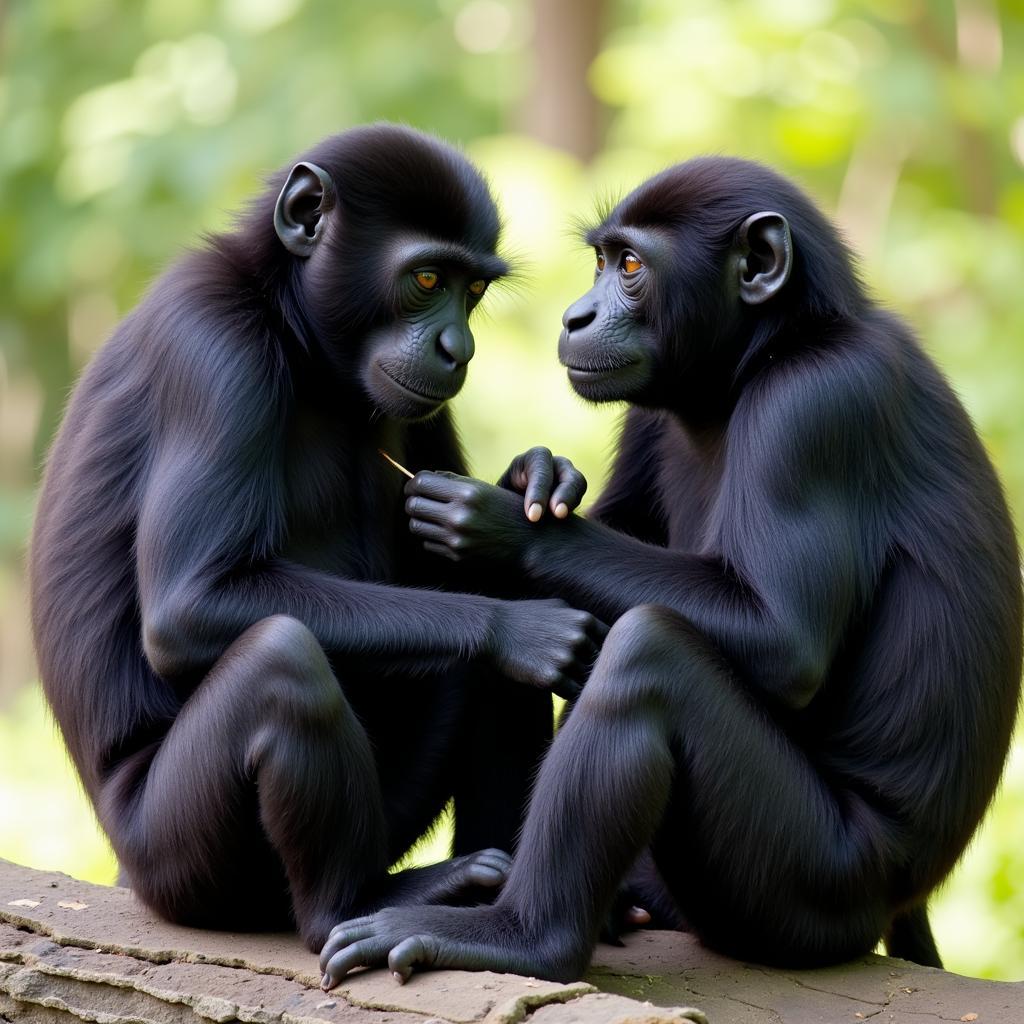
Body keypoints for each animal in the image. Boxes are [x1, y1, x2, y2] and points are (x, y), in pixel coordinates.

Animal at [32, 125, 602, 950]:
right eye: (427, 279)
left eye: (473, 292)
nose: (459, 349)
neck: (288, 324)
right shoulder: (213, 345)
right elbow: (189, 605)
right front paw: (522, 630)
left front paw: (536, 478)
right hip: (176, 861)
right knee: (281, 661)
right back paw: (355, 904)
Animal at [321, 155, 1024, 978]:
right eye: (601, 260)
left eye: (630, 267)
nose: (578, 316)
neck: (761, 356)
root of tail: (897, 901)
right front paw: (536, 477)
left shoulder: (818, 402)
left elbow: (782, 639)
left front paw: (497, 525)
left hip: (810, 889)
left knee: (651, 656)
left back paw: (523, 934)